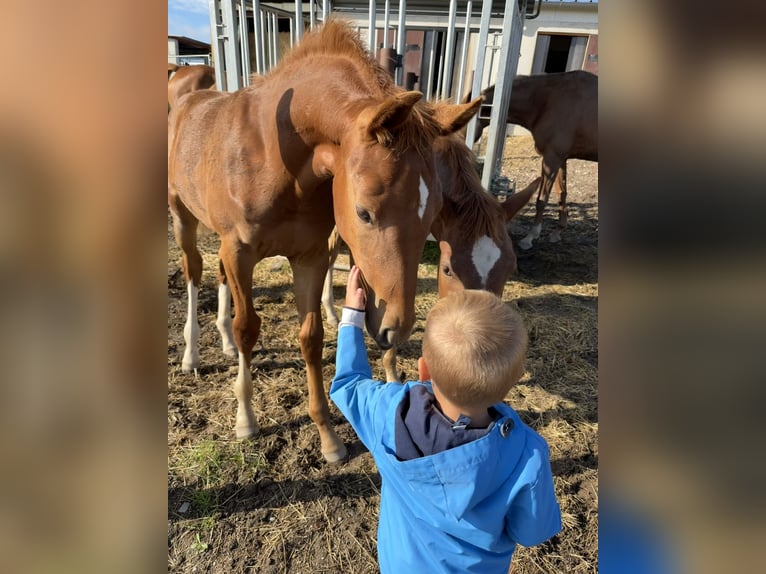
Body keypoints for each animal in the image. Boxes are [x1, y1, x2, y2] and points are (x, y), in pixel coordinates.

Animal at [168, 20, 481, 463]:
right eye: (364, 213)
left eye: (433, 213)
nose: (396, 329)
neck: (274, 152)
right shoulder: (241, 252)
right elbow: (248, 327)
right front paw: (246, 419)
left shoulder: (310, 257)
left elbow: (311, 337)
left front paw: (328, 437)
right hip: (183, 217)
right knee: (194, 272)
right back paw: (192, 354)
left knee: (218, 277)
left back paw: (223, 344)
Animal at [471, 71, 598, 249]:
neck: (547, 100)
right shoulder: (561, 158)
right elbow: (562, 193)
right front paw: (558, 231)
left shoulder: (552, 158)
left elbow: (541, 199)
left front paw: (530, 237)